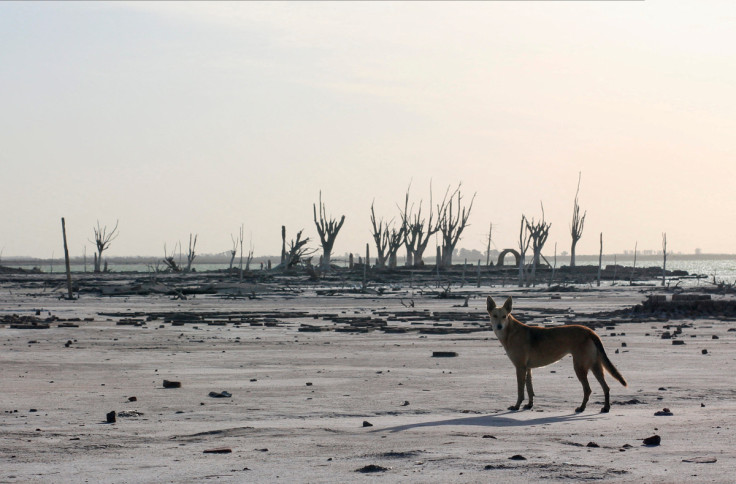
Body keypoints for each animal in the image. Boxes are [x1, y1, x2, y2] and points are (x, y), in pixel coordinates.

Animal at [488, 294, 628, 412]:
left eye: (504, 316)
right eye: (494, 316)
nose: (499, 326)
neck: (510, 332)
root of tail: (590, 331)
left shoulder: (520, 367)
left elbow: (520, 391)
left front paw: (517, 406)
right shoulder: (527, 368)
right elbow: (529, 389)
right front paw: (529, 405)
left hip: (579, 366)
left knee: (588, 389)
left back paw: (582, 407)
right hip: (595, 366)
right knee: (606, 387)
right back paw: (606, 407)